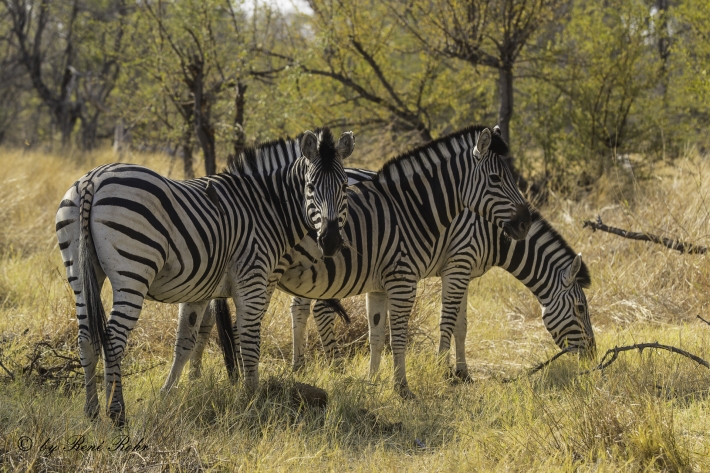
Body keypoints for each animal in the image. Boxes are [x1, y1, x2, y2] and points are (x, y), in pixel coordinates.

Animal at [55, 128, 354, 425]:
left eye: (344, 187)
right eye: (310, 187)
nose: (330, 242)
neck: (266, 207)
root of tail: (93, 180)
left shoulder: (198, 290)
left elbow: (184, 344)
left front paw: (169, 394)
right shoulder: (253, 280)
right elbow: (249, 341)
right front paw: (251, 399)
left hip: (79, 270)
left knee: (86, 338)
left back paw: (92, 411)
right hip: (133, 271)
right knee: (113, 339)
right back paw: (117, 413)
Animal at [174, 125, 533, 398]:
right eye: (496, 179)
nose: (525, 223)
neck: (410, 210)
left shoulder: (383, 283)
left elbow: (378, 333)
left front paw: (376, 383)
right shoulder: (407, 278)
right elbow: (399, 335)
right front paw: (404, 389)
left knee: (209, 318)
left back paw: (200, 377)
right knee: (238, 323)